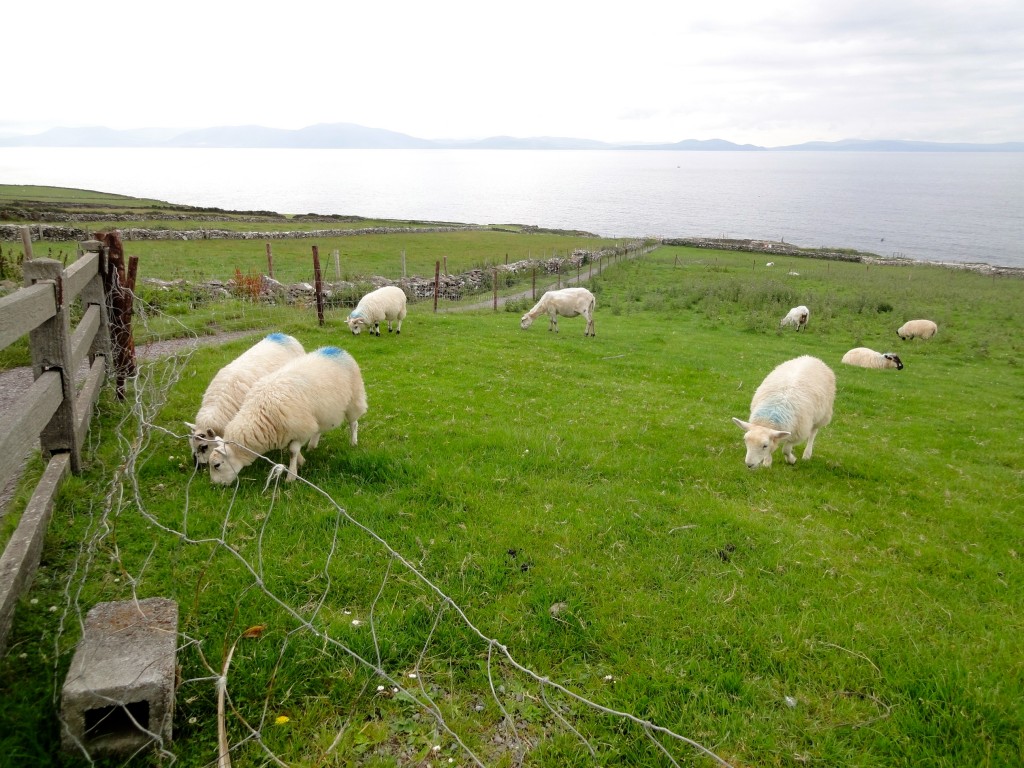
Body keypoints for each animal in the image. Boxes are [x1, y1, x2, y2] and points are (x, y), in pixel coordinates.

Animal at [207, 346, 368, 485]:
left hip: (354, 399)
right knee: (319, 429)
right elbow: (293, 450)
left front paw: (291, 476)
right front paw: (301, 461)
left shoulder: (301, 429)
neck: (259, 413)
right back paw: (312, 445)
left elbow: (292, 451)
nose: (215, 485)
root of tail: (336, 349)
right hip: (320, 413)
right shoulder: (291, 431)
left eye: (217, 465)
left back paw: (353, 442)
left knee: (353, 423)